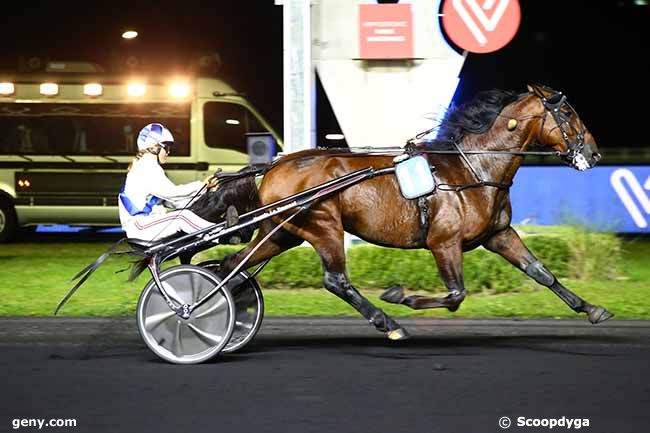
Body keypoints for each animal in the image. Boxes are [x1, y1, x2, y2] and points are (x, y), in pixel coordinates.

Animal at [190, 84, 612, 340]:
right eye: (568, 113)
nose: (593, 154)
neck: (474, 169)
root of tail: (275, 164)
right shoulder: (444, 242)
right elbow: (456, 294)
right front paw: (400, 296)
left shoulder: (498, 234)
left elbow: (541, 272)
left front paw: (592, 309)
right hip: (323, 225)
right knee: (335, 280)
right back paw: (388, 322)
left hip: (284, 232)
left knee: (233, 265)